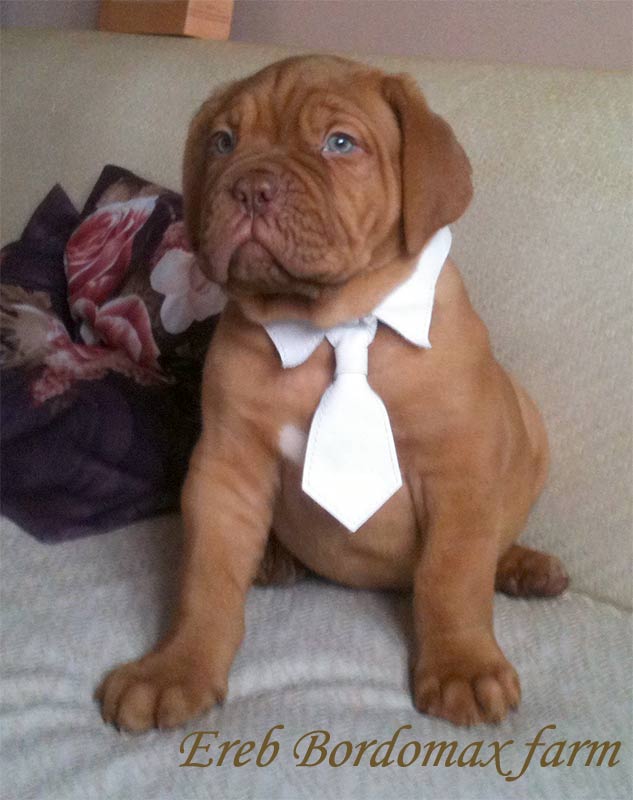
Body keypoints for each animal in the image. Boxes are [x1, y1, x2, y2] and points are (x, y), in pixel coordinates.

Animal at [96, 55, 569, 731]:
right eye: (223, 143)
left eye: (340, 144)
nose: (250, 187)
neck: (335, 325)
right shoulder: (226, 468)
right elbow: (204, 581)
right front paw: (174, 669)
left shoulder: (461, 474)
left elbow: (452, 576)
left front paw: (462, 666)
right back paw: (271, 559)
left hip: (527, 427)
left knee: (489, 547)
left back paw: (526, 567)